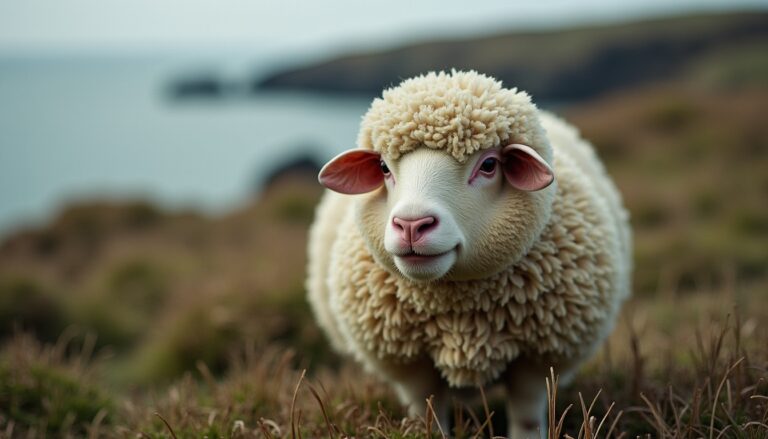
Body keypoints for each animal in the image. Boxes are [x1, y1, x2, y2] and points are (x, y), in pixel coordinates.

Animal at [306, 70, 631, 438]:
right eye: (384, 168)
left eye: (489, 165)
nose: (411, 224)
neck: (462, 316)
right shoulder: (410, 364)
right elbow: (427, 413)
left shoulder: (537, 360)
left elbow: (528, 418)